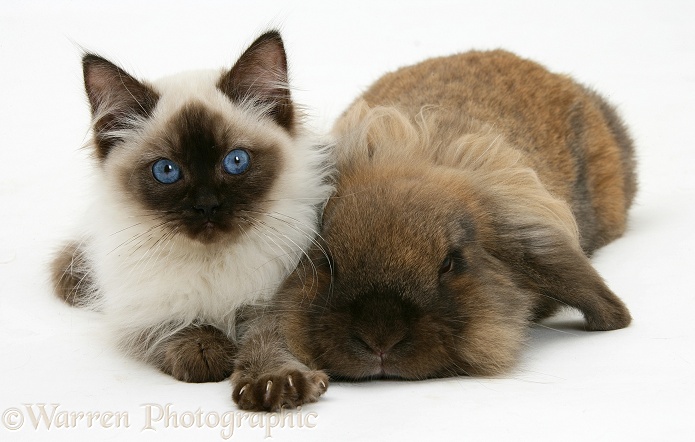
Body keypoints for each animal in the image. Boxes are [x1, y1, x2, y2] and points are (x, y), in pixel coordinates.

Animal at [50, 32, 334, 384]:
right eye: (166, 171)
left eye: (236, 161)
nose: (206, 206)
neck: (212, 263)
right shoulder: (144, 310)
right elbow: (177, 325)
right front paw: (205, 355)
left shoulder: (275, 300)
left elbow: (267, 335)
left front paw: (274, 379)